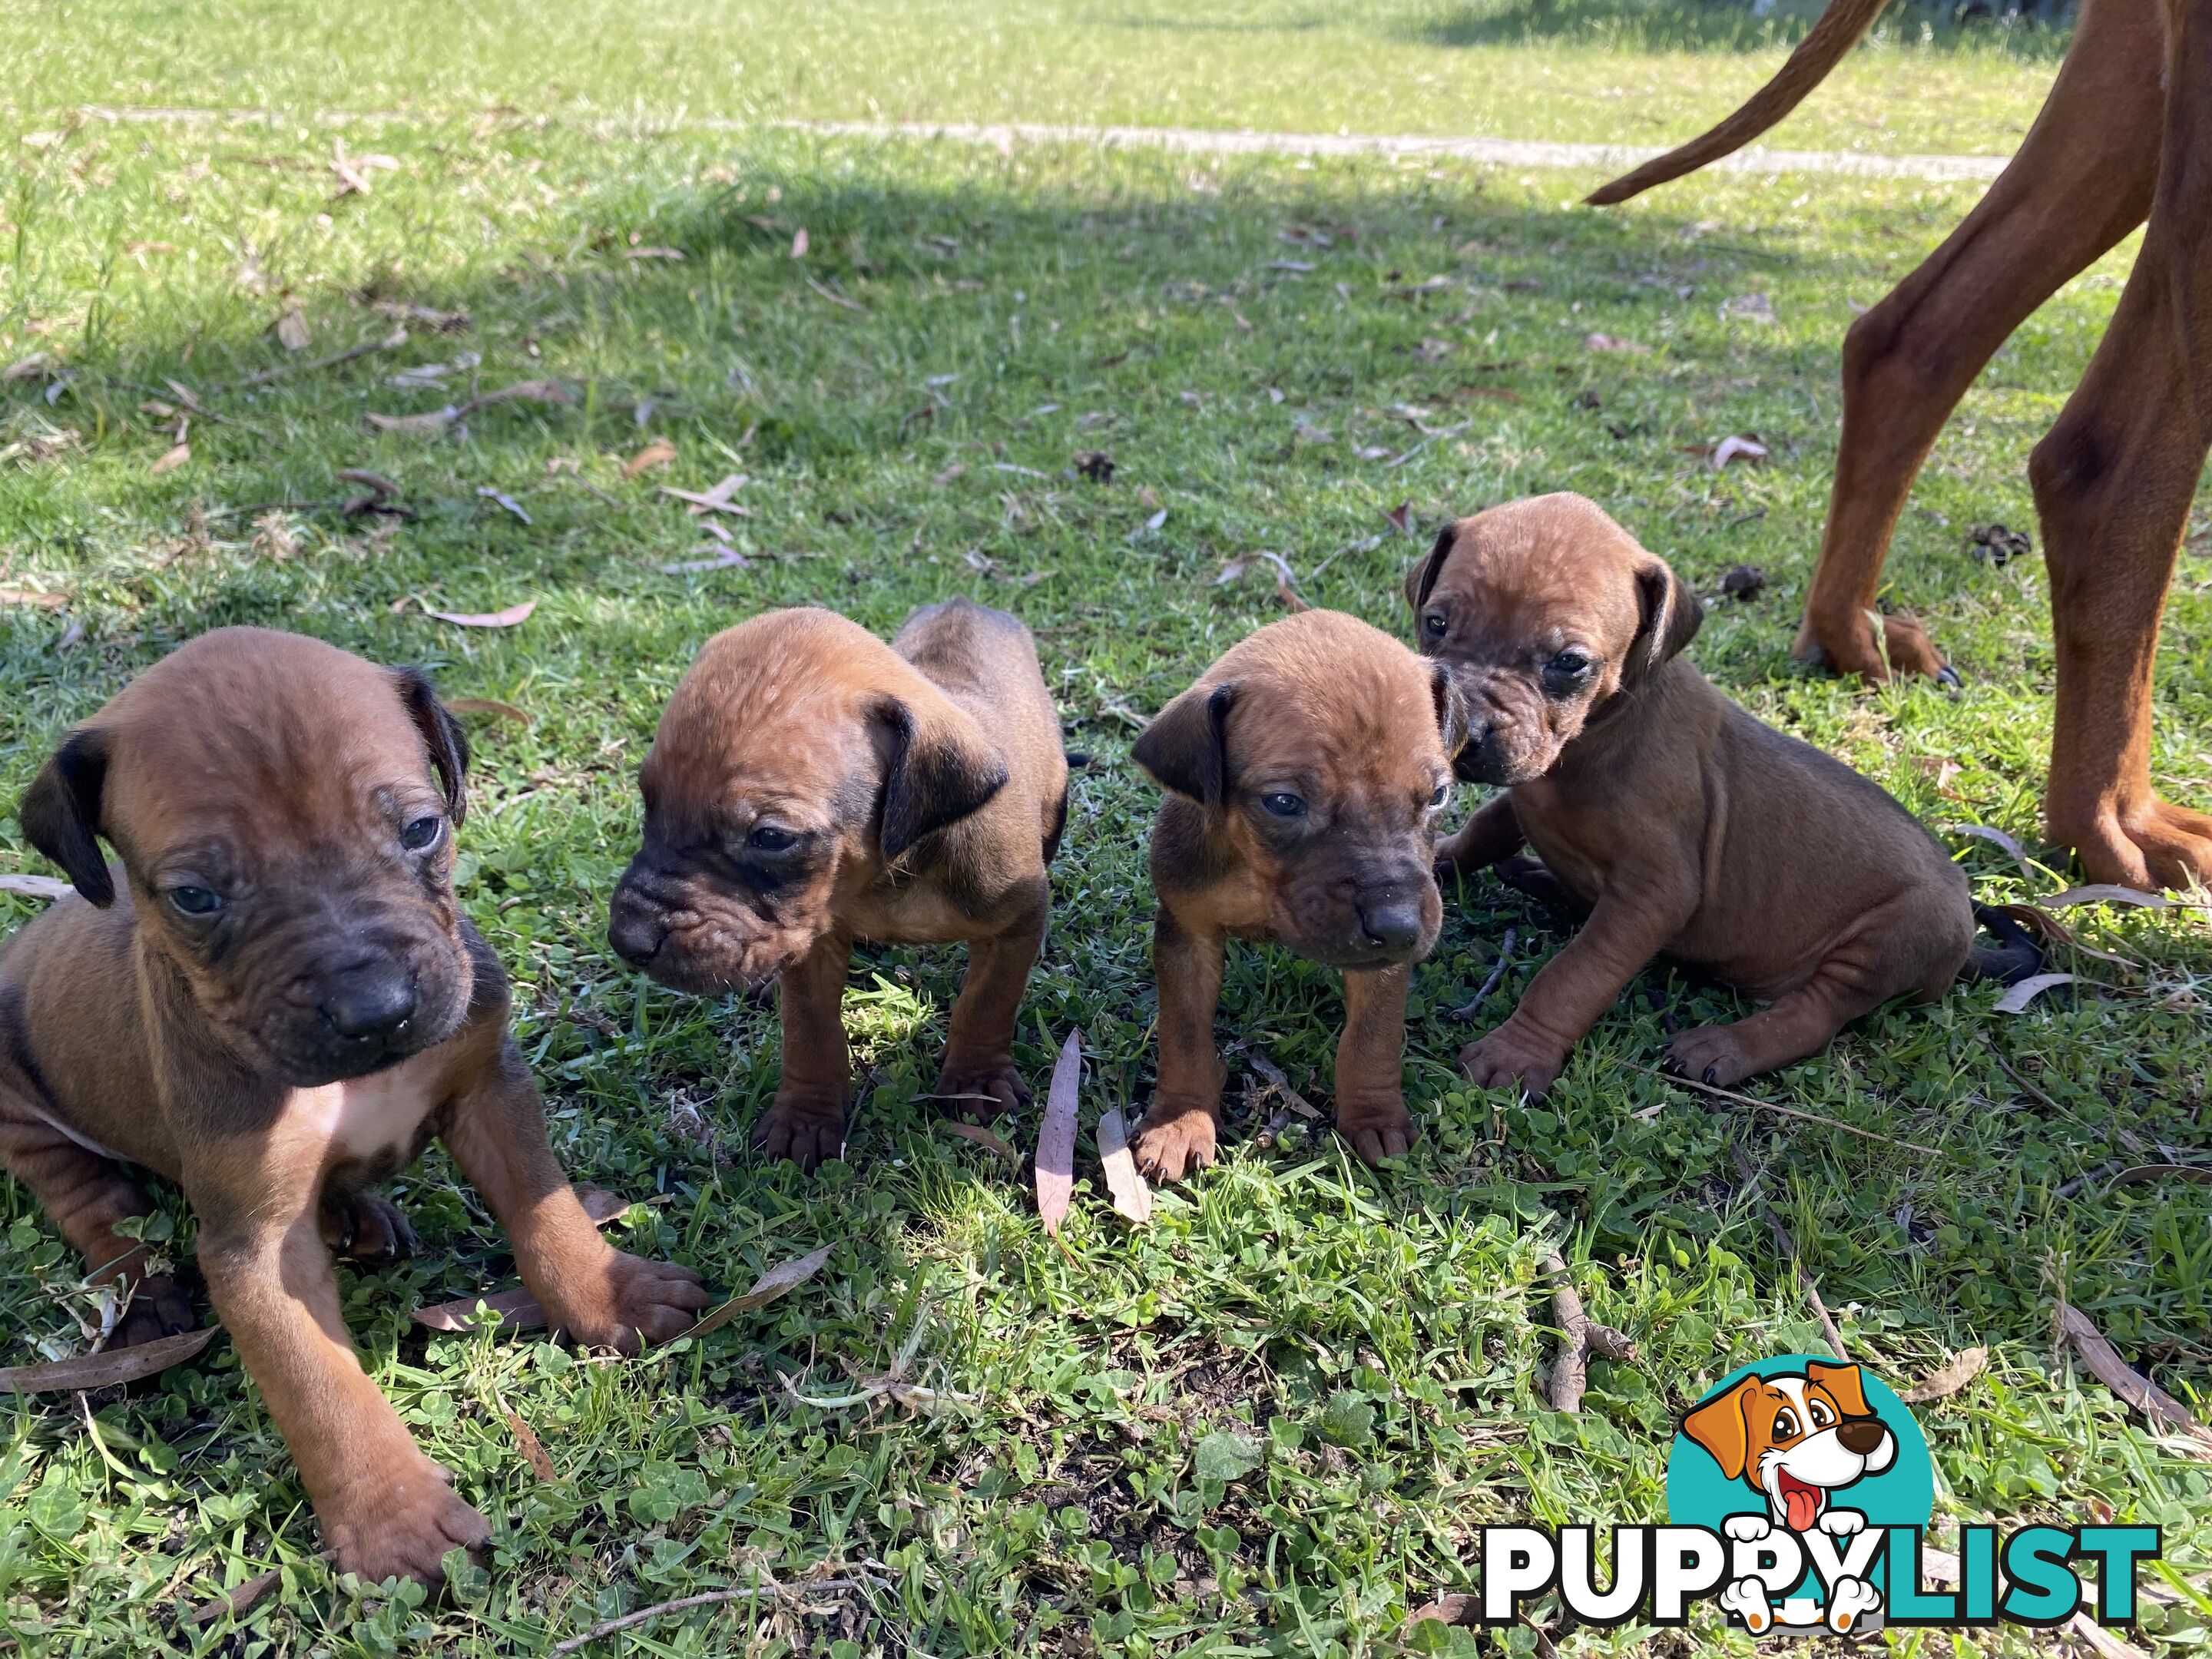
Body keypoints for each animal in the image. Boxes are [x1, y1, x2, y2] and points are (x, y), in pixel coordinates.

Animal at [0, 628, 707, 1592]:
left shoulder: (489, 1088)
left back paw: (358, 1216)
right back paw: (142, 1292)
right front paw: (393, 1516)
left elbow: (547, 1209)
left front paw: (610, 1291)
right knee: (89, 1201)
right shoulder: (256, 1248)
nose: (377, 1010)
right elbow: (321, 1386)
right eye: (195, 897)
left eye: (421, 830)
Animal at [610, 606, 1066, 1177]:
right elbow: (810, 1030)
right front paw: (806, 1116)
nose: (627, 940)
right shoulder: (810, 940)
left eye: (771, 838)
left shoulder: (1015, 918)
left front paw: (976, 1080)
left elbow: (988, 1000)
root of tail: (967, 603)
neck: (892, 870)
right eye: (649, 802)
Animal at [1124, 610, 1469, 1185]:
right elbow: (1185, 1034)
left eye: (1438, 796)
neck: (1257, 872)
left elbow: (1371, 1039)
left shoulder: (1381, 964)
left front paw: (1374, 1115)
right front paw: (1181, 1120)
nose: (1399, 927)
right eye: (1284, 803)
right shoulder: (1186, 935)